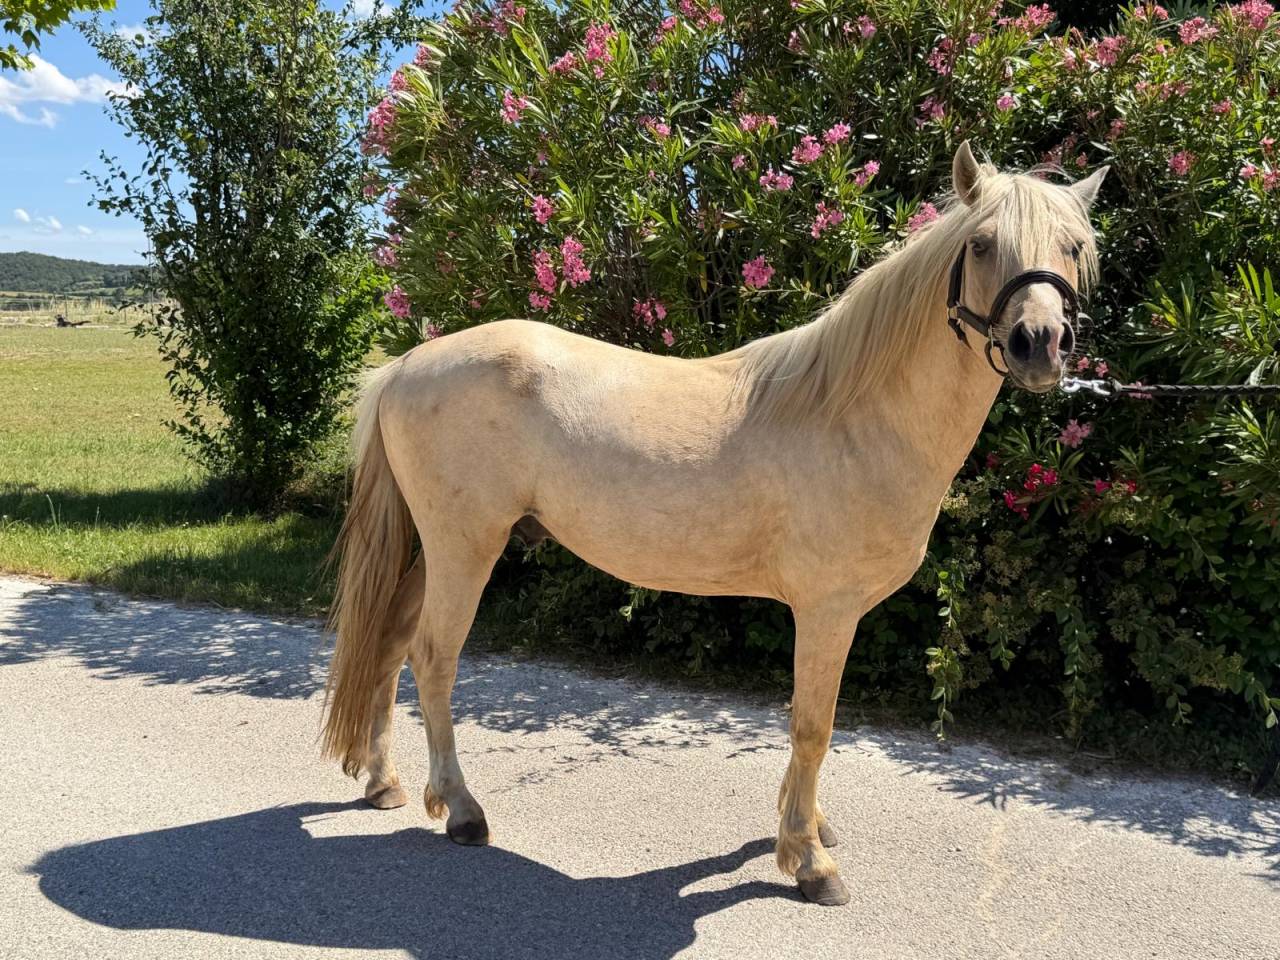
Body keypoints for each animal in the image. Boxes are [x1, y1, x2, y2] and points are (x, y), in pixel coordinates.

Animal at [322, 142, 1108, 906]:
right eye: (980, 244)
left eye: (1072, 246)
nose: (1041, 342)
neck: (854, 415)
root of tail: (404, 366)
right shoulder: (827, 609)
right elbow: (813, 726)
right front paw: (808, 861)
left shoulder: (827, 615)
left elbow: (806, 723)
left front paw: (805, 827)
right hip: (465, 546)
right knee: (433, 657)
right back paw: (461, 810)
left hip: (437, 549)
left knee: (389, 642)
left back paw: (384, 782)